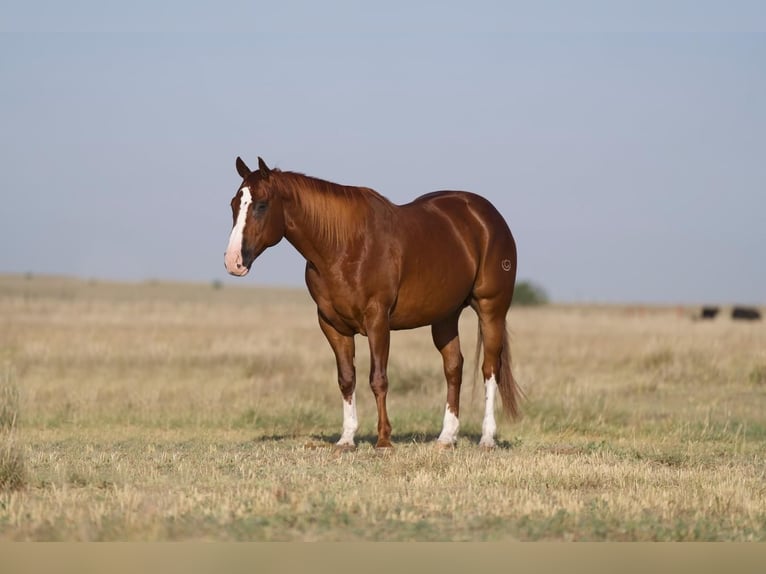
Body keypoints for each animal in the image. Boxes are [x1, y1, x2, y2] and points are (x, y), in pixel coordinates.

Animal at [225, 156, 524, 450]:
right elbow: (346, 379)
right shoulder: (333, 325)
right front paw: (347, 438)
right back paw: (446, 437)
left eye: (261, 205)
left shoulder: (377, 320)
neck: (344, 246)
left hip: (491, 309)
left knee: (489, 369)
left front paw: (383, 440)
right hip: (445, 316)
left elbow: (378, 378)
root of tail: (485, 214)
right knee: (453, 368)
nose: (233, 261)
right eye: (233, 204)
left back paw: (487, 438)